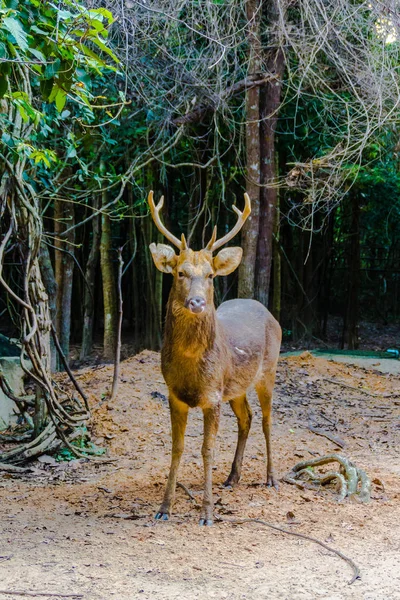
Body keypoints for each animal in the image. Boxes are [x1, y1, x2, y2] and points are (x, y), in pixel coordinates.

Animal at [147, 191, 282, 524]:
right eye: (179, 272)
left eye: (210, 275)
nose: (196, 302)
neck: (191, 371)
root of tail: (268, 312)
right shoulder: (174, 395)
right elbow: (177, 448)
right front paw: (164, 508)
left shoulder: (212, 397)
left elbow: (207, 450)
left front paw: (207, 512)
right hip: (235, 387)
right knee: (247, 418)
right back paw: (233, 477)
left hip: (269, 370)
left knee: (267, 420)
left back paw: (272, 477)